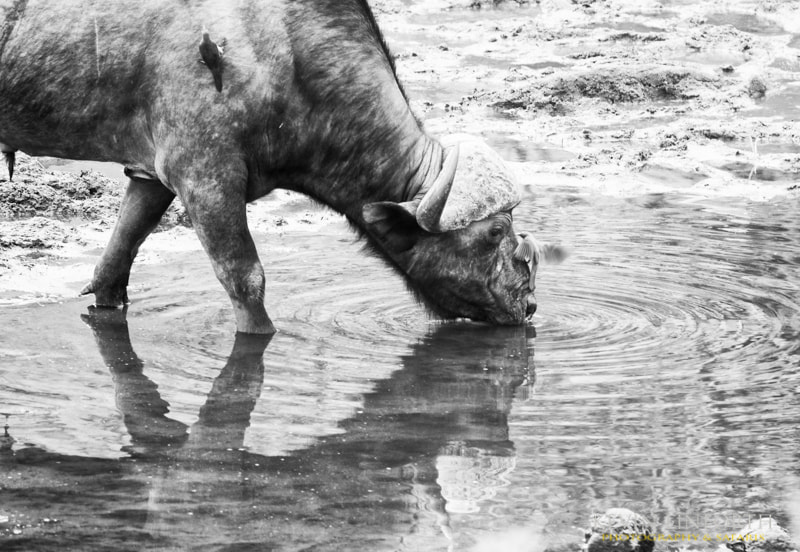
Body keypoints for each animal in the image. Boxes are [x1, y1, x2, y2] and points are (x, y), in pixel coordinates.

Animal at [0, 0, 558, 333]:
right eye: (493, 234)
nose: (528, 306)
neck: (278, 48)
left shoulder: (152, 174)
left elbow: (115, 264)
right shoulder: (205, 175)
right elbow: (245, 280)